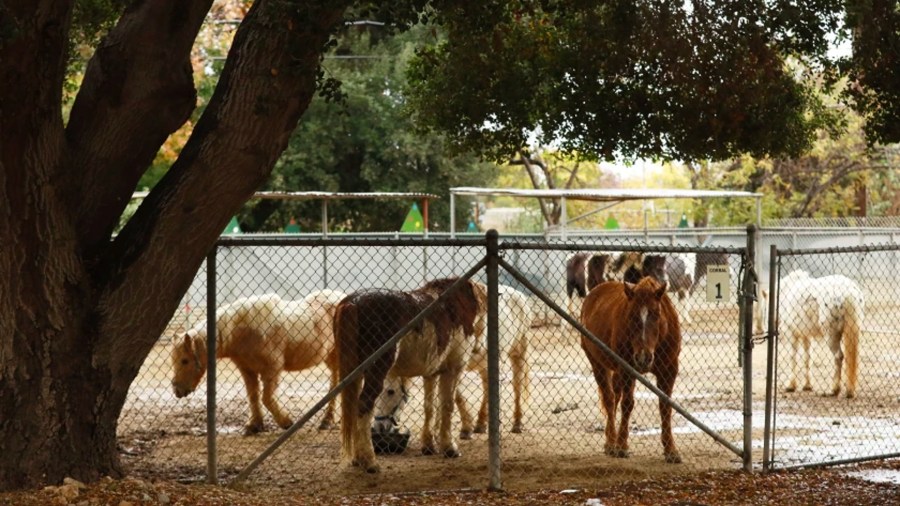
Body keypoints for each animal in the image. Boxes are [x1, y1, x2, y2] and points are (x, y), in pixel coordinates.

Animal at [334, 276, 486, 470]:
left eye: (390, 392)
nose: (381, 428)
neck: (454, 305)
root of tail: (352, 303)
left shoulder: (431, 373)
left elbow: (430, 407)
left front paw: (428, 446)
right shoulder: (453, 370)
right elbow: (447, 406)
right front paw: (449, 448)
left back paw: (357, 458)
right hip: (375, 370)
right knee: (363, 405)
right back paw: (369, 461)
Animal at [584, 276, 684, 462]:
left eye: (656, 314)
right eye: (631, 315)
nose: (643, 357)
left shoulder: (669, 371)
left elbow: (665, 406)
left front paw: (670, 450)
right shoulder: (627, 370)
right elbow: (627, 404)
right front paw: (621, 446)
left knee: (615, 396)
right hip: (598, 364)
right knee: (609, 399)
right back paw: (611, 442)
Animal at [776, 270, 860, 398]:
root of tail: (847, 292)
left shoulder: (792, 334)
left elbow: (793, 357)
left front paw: (791, 386)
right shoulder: (806, 336)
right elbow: (807, 358)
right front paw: (807, 386)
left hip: (831, 336)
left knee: (838, 356)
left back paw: (834, 390)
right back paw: (849, 391)